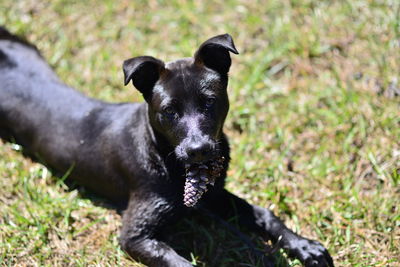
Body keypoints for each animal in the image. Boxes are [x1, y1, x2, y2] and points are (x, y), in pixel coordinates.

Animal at [0, 27, 334, 267]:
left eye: (209, 102)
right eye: (169, 111)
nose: (199, 151)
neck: (166, 158)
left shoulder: (215, 195)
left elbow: (265, 215)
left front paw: (304, 246)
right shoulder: (135, 235)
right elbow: (181, 264)